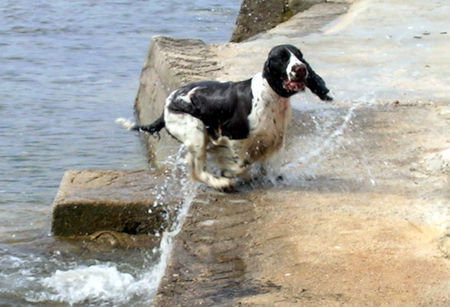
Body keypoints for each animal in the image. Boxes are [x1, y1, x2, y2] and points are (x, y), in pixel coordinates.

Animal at [118, 44, 332, 191]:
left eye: (300, 56)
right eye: (282, 58)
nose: (301, 68)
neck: (271, 95)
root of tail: (166, 105)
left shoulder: (276, 140)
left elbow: (268, 167)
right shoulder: (233, 136)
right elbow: (241, 165)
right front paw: (228, 172)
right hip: (195, 131)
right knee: (196, 169)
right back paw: (221, 183)